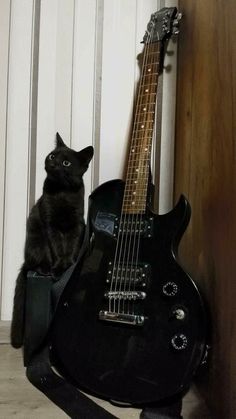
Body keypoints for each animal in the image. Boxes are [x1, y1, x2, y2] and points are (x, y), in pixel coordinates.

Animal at [10, 134, 94, 348]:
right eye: (52, 155)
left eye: (66, 163)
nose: (53, 163)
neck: (62, 192)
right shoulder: (49, 223)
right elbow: (56, 248)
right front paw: (58, 268)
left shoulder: (77, 224)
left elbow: (71, 247)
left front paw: (69, 265)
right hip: (36, 243)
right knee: (36, 262)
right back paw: (44, 269)